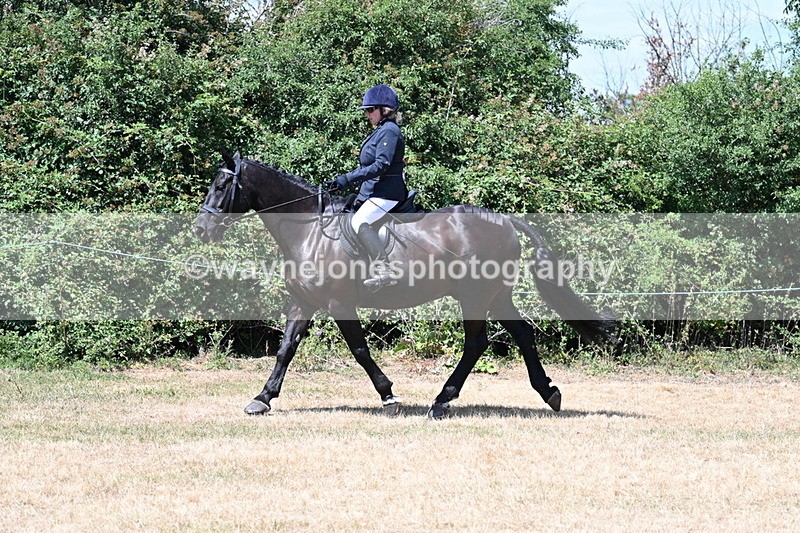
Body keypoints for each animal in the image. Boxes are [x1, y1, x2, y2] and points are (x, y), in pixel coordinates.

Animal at [194, 151, 617, 418]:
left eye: (221, 186)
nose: (200, 229)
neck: (311, 230)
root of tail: (505, 220)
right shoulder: (304, 302)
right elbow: (285, 351)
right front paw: (262, 399)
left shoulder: (338, 304)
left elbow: (360, 350)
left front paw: (389, 396)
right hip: (497, 296)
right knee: (523, 335)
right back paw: (550, 393)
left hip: (475, 296)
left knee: (476, 344)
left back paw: (442, 402)